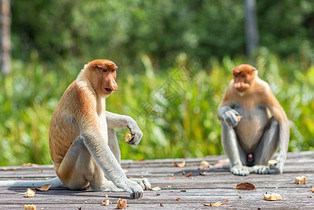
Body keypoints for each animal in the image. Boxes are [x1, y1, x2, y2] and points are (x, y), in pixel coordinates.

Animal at [0, 59, 150, 199]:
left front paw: (131, 123)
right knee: (83, 142)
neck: (87, 80)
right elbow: (91, 134)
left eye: (113, 71)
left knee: (108, 129)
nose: (113, 83)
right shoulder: (83, 95)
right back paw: (102, 186)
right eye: (104, 71)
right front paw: (127, 184)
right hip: (70, 173)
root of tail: (59, 175)